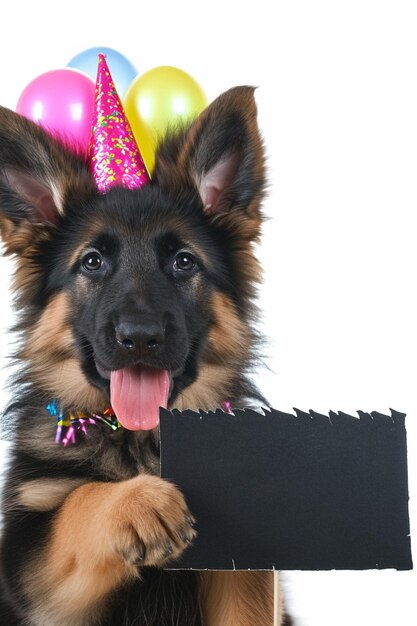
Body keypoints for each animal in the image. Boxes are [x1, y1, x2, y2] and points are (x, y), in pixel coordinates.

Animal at [0, 88, 282, 624]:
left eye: (183, 261)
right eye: (92, 262)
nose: (140, 338)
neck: (142, 440)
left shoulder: (243, 576)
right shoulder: (30, 567)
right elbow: (80, 502)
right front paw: (138, 503)